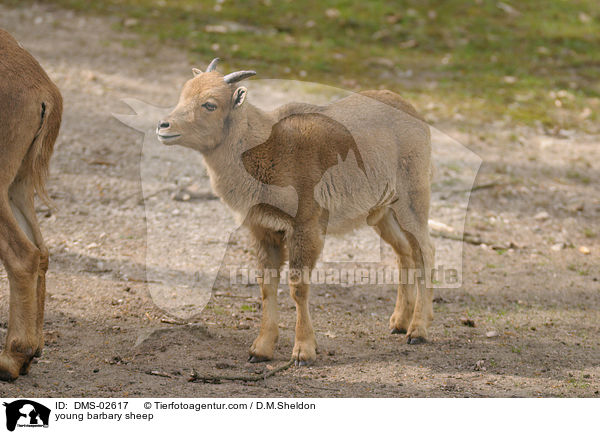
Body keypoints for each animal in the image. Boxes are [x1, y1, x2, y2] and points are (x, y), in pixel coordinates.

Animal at [157, 59, 434, 364]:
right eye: (183, 94)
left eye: (210, 104)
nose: (164, 125)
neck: (267, 148)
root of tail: (415, 115)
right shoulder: (263, 229)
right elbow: (267, 286)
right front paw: (260, 349)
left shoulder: (306, 224)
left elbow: (298, 287)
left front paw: (303, 350)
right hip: (382, 212)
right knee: (404, 252)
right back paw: (399, 322)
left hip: (412, 199)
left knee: (425, 250)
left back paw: (418, 330)